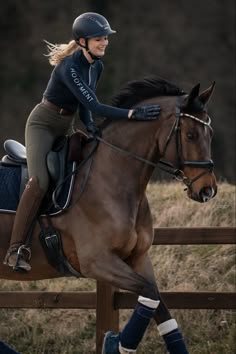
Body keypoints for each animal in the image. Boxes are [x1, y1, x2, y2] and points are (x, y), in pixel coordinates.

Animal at [0, 78, 218, 354]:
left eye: (210, 134)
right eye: (190, 135)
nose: (207, 190)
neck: (114, 179)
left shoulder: (138, 259)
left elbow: (158, 303)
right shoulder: (98, 262)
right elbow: (150, 293)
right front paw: (116, 343)